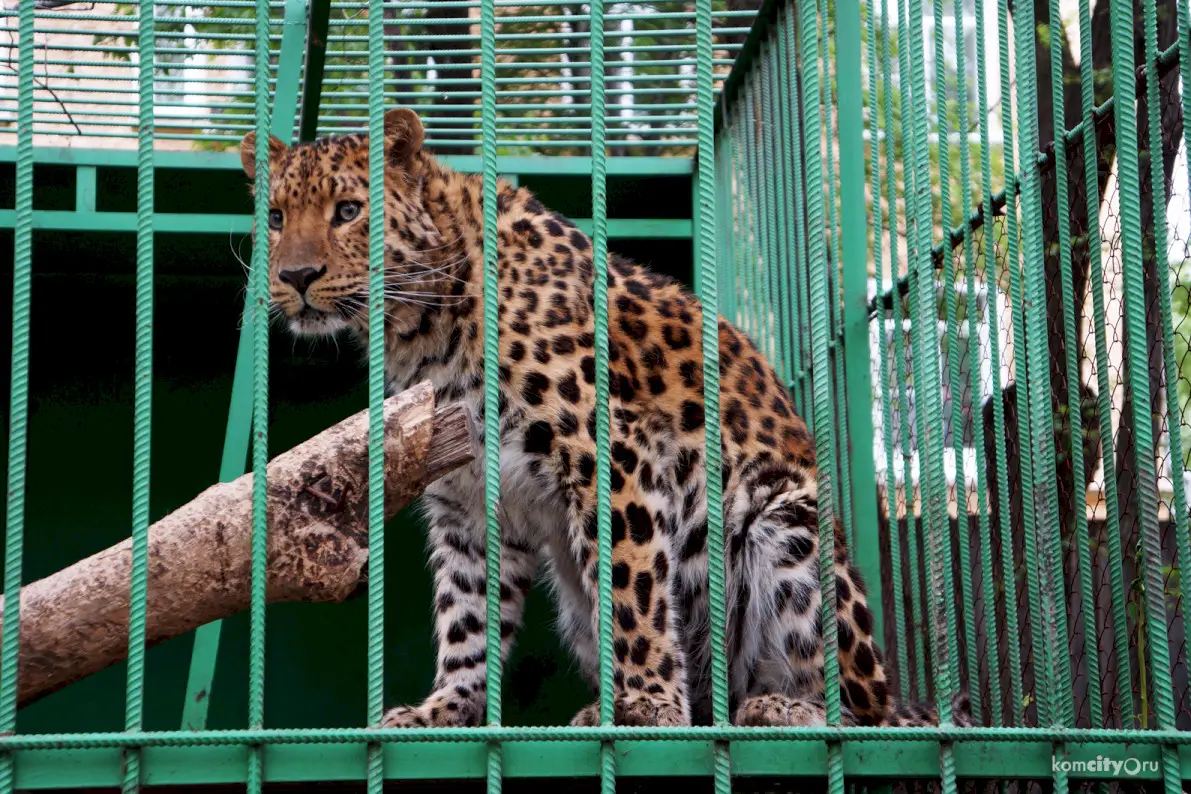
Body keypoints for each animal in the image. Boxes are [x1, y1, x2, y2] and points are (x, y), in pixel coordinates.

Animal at [239, 108, 967, 728]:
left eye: (348, 211)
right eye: (274, 217)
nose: (296, 276)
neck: (420, 332)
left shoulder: (610, 448)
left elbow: (631, 583)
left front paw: (648, 702)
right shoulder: (463, 496)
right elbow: (465, 615)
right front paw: (443, 708)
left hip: (789, 524)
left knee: (856, 708)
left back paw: (781, 707)